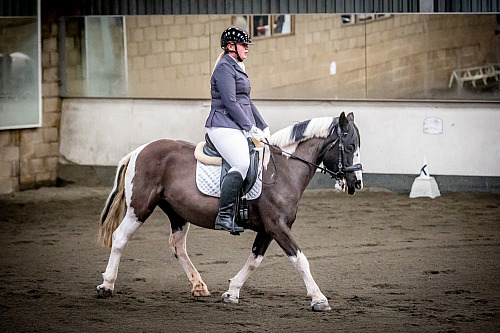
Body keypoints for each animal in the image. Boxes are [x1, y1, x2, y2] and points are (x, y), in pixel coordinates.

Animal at [96, 111, 364, 312]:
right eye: (350, 146)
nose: (357, 183)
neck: (283, 171)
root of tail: (138, 150)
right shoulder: (278, 226)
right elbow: (300, 260)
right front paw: (319, 299)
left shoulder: (269, 229)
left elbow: (255, 260)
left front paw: (232, 292)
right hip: (139, 208)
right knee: (120, 238)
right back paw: (107, 286)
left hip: (177, 213)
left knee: (177, 246)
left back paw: (199, 287)